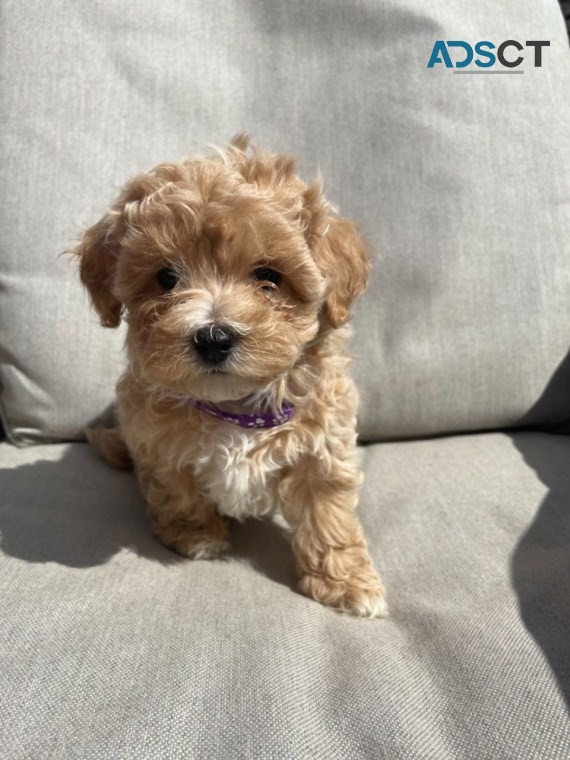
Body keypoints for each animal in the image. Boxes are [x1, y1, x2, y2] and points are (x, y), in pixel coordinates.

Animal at [76, 137, 386, 620]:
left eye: (268, 277)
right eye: (166, 277)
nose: (213, 336)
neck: (235, 407)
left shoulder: (323, 445)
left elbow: (328, 515)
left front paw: (347, 583)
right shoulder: (154, 440)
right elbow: (175, 488)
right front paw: (196, 535)